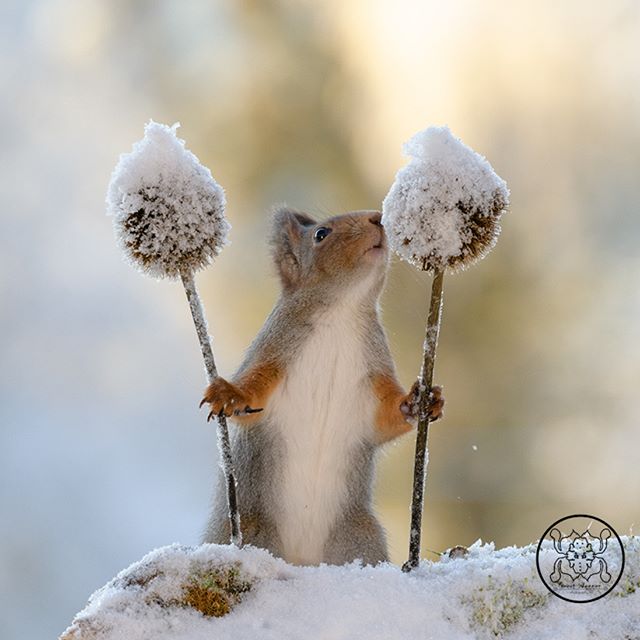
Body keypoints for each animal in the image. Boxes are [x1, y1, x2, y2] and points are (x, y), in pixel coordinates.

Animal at [202, 206, 442, 564]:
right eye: (321, 234)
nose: (377, 217)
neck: (341, 312)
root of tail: (303, 559)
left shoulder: (373, 375)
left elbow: (386, 418)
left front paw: (420, 401)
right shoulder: (274, 350)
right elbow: (253, 393)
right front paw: (228, 394)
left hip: (358, 537)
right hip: (255, 530)